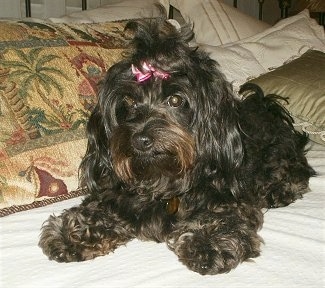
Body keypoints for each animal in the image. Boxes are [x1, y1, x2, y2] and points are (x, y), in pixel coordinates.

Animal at [38, 18, 314, 274]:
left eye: (175, 100)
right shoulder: (116, 194)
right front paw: (73, 231)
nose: (140, 140)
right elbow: (98, 208)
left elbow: (222, 217)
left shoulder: (230, 199)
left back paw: (280, 189)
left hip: (276, 156)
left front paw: (209, 241)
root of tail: (265, 106)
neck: (162, 178)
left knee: (295, 170)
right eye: (128, 101)